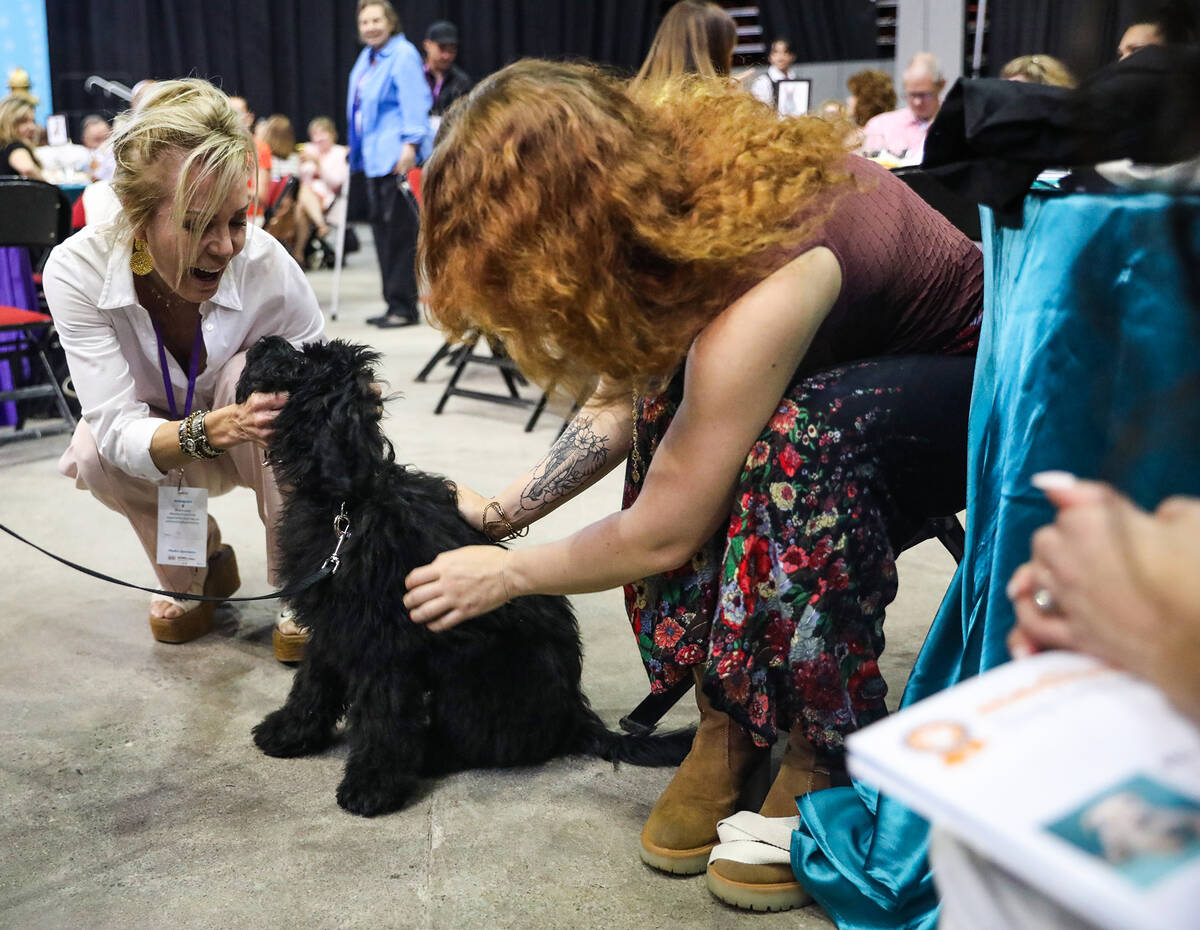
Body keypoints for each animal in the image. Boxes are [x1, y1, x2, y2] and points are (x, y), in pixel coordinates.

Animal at [234, 336, 691, 816]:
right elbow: (311, 684)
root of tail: (575, 715)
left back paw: (427, 753)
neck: (349, 504)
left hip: (473, 674)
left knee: (485, 742)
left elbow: (382, 715)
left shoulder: (384, 646)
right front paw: (289, 733)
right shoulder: (333, 627)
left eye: (304, 361)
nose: (264, 341)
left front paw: (372, 784)